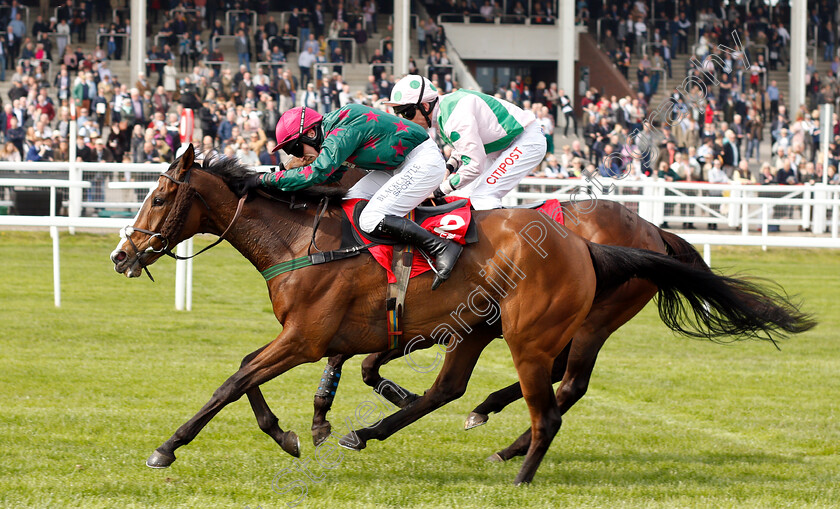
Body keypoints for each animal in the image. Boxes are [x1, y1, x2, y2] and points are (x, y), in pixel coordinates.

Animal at [110, 145, 812, 482]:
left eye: (159, 196)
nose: (122, 254)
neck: (304, 240)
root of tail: (635, 232)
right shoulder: (318, 336)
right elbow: (253, 372)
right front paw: (293, 430)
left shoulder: (307, 337)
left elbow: (235, 379)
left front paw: (168, 448)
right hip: (485, 329)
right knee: (462, 388)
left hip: (570, 325)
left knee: (561, 386)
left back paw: (506, 442)